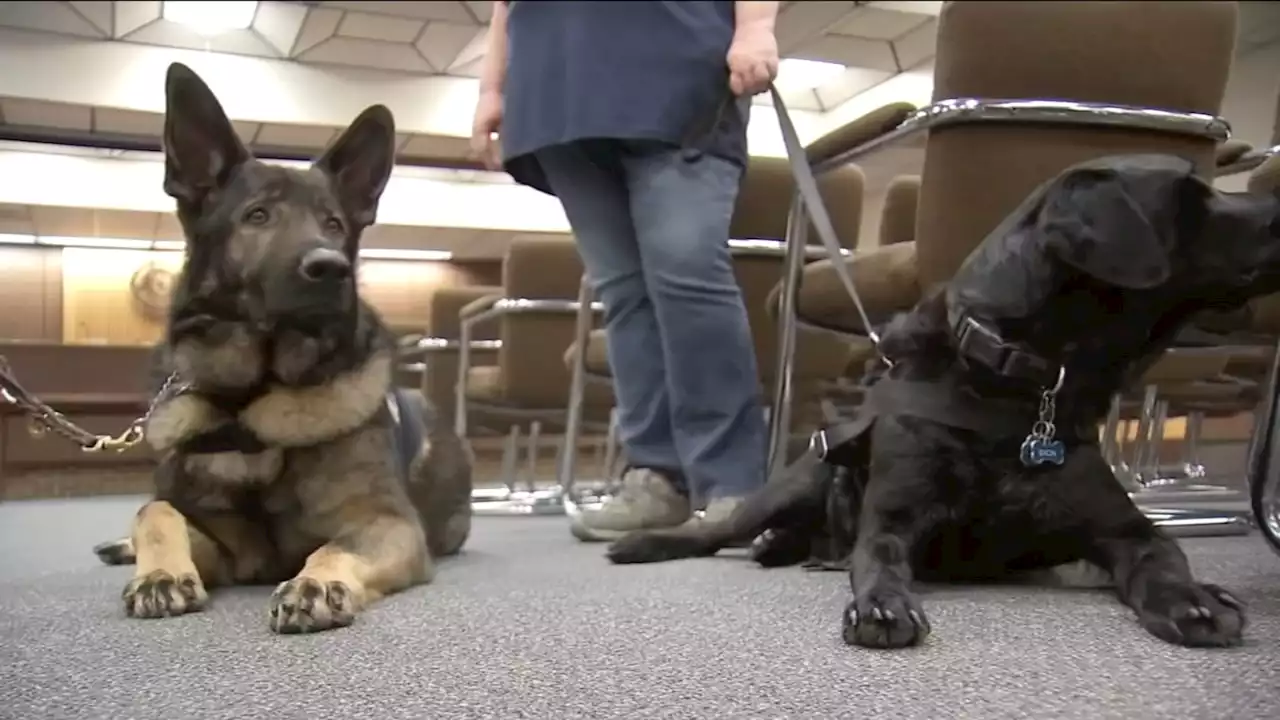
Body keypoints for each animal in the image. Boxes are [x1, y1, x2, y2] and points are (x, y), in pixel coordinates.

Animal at [88, 64, 476, 630]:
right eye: (257, 215)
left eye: (334, 224)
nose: (330, 268)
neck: (249, 402)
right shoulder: (222, 543)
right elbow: (156, 511)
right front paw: (159, 573)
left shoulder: (388, 522)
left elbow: (335, 547)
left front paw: (318, 582)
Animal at [604, 155, 1280, 650]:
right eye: (1195, 196)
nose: (1274, 195)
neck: (1016, 382)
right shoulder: (894, 518)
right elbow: (877, 557)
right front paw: (881, 604)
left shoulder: (1126, 527)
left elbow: (1162, 557)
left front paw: (1192, 598)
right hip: (792, 484)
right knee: (718, 530)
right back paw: (657, 544)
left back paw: (789, 550)